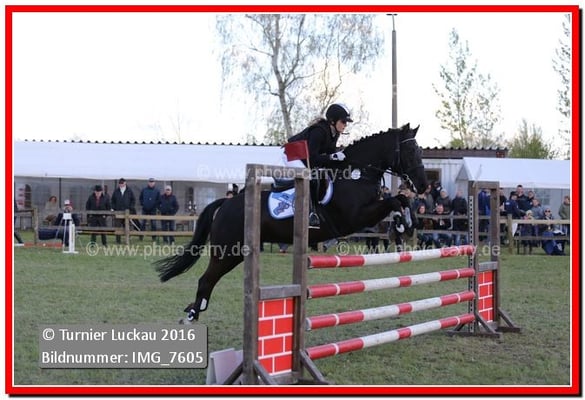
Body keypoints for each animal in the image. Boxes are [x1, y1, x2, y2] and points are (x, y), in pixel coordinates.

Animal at [155, 123, 427, 321]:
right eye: (411, 152)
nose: (423, 186)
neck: (356, 174)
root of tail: (226, 204)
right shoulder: (355, 217)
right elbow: (393, 202)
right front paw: (402, 223)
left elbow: (400, 199)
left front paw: (407, 221)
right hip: (227, 250)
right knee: (206, 279)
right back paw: (192, 314)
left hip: (238, 252)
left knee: (209, 280)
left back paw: (193, 309)